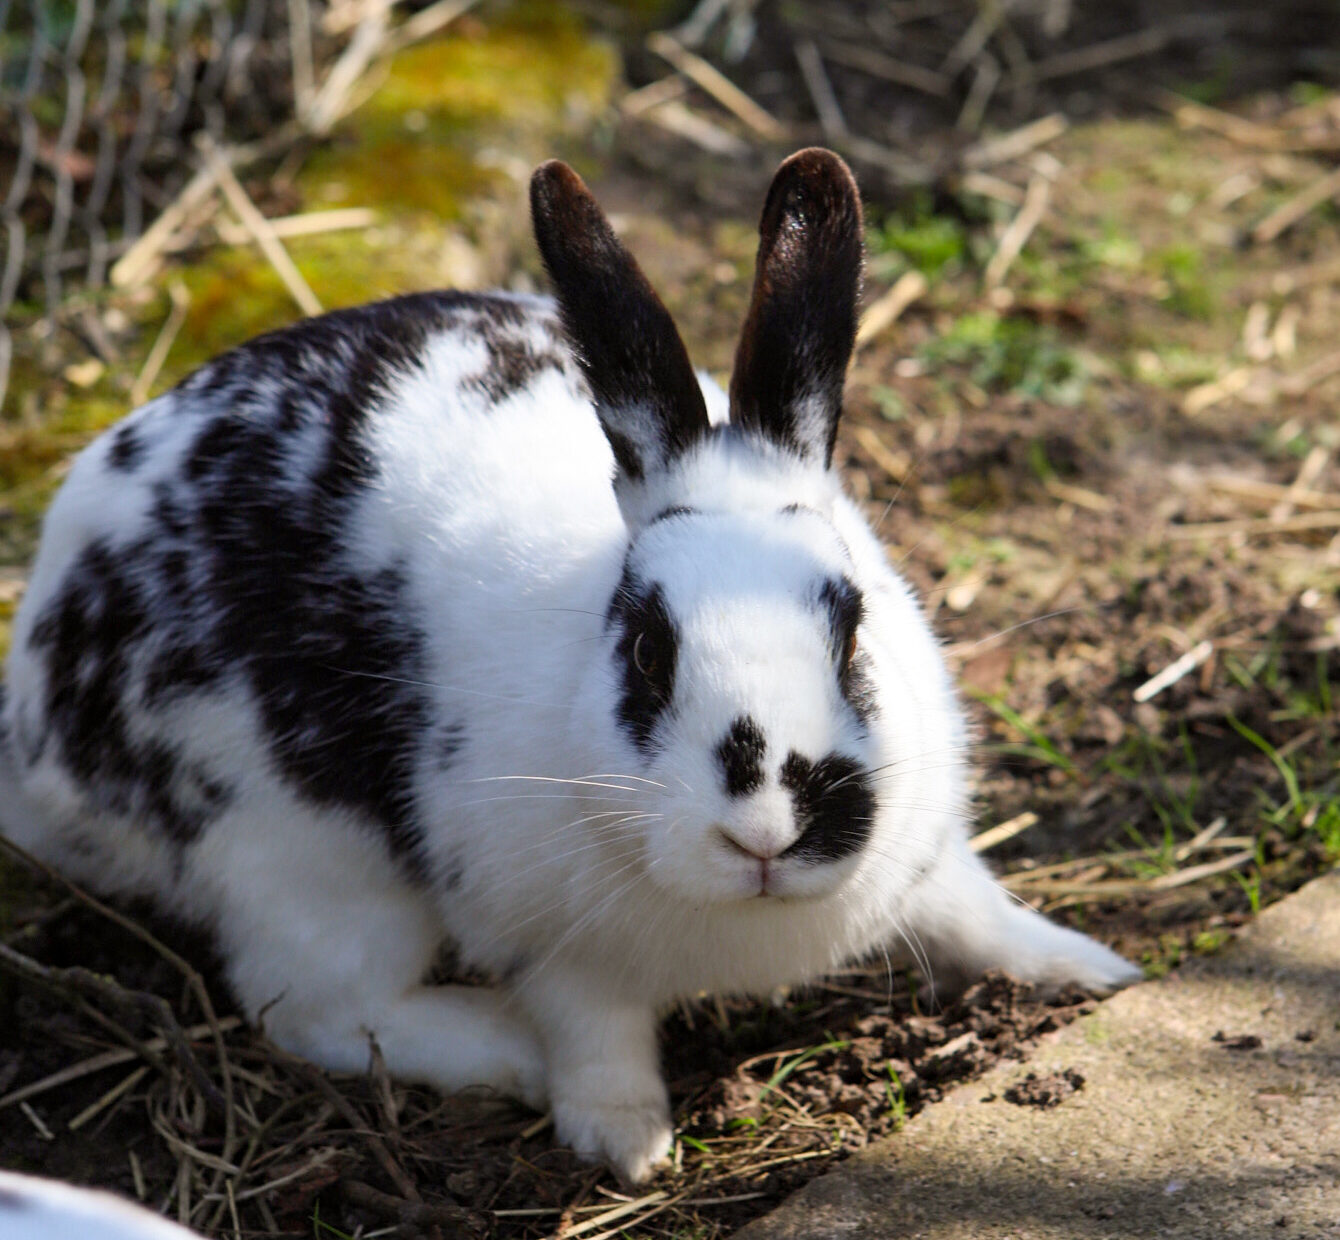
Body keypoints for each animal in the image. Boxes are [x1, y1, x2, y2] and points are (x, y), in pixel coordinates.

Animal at [0, 148, 1141, 1183]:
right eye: (645, 649)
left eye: (852, 628)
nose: (767, 832)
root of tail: (34, 724)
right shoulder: (556, 947)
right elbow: (593, 1034)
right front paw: (625, 1143)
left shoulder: (930, 860)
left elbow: (975, 913)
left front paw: (1095, 971)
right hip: (299, 860)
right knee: (314, 1008)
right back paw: (502, 1050)